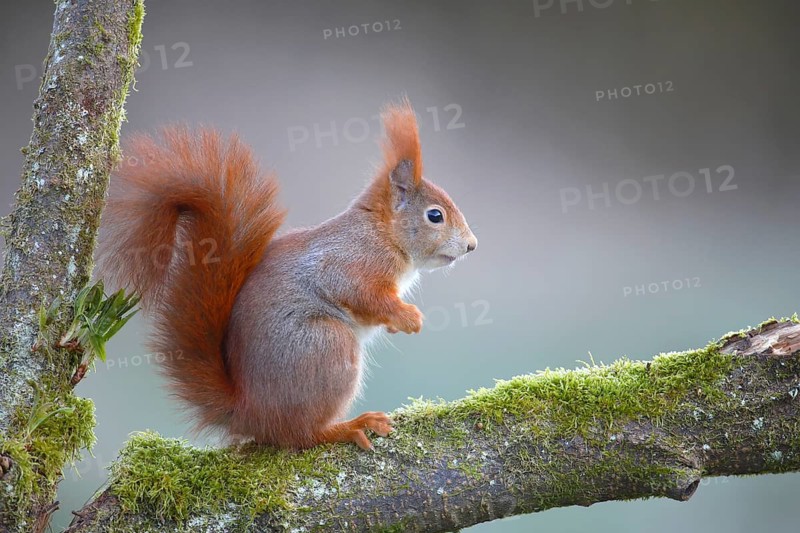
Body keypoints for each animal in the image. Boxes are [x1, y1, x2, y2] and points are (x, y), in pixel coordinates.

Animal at [96, 100, 477, 451]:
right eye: (435, 216)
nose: (472, 246)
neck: (383, 233)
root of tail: (250, 411)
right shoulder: (351, 263)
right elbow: (361, 295)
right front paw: (407, 317)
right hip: (327, 346)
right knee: (298, 435)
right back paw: (347, 427)